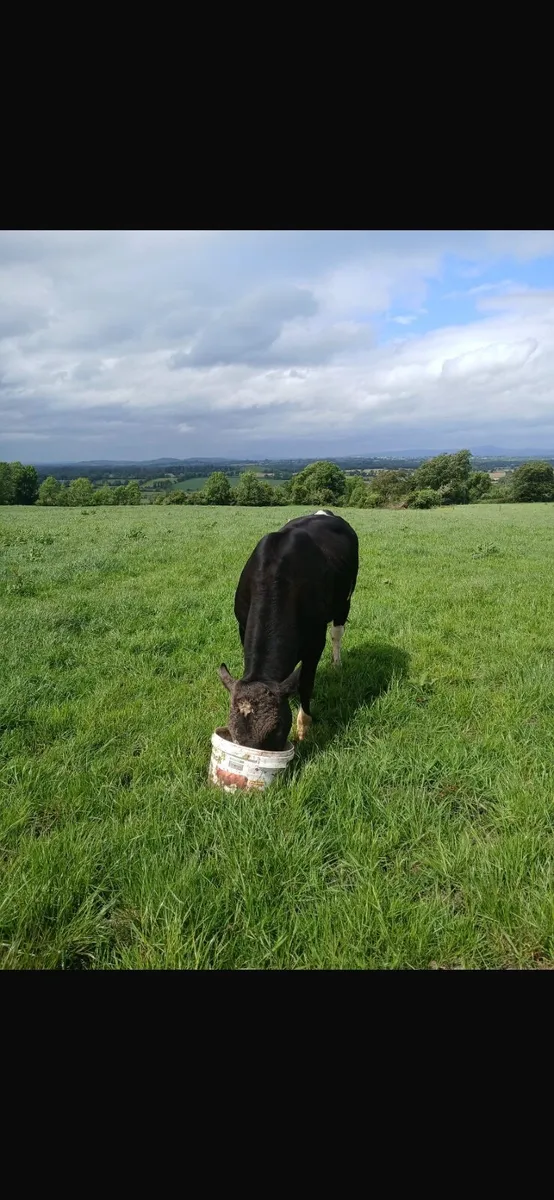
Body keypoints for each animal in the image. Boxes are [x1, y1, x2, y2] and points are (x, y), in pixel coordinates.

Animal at [218, 509, 359, 750]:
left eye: (275, 728)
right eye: (234, 734)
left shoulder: (315, 640)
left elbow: (306, 682)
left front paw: (304, 728)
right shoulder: (242, 626)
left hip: (345, 599)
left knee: (337, 633)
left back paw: (337, 663)